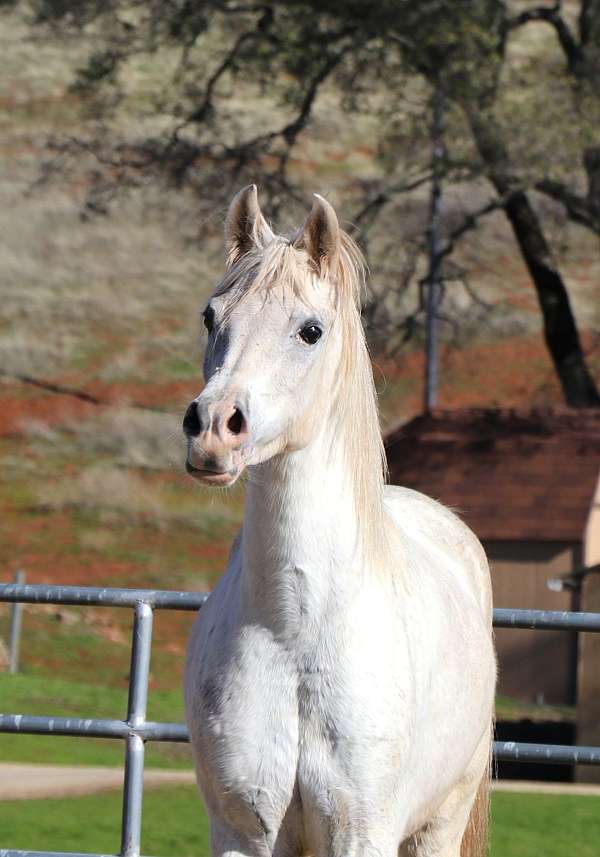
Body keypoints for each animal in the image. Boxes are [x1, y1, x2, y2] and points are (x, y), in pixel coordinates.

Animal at [184, 187, 496, 856]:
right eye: (210, 316)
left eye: (311, 330)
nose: (213, 428)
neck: (293, 631)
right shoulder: (243, 832)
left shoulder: (363, 830)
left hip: (440, 822)